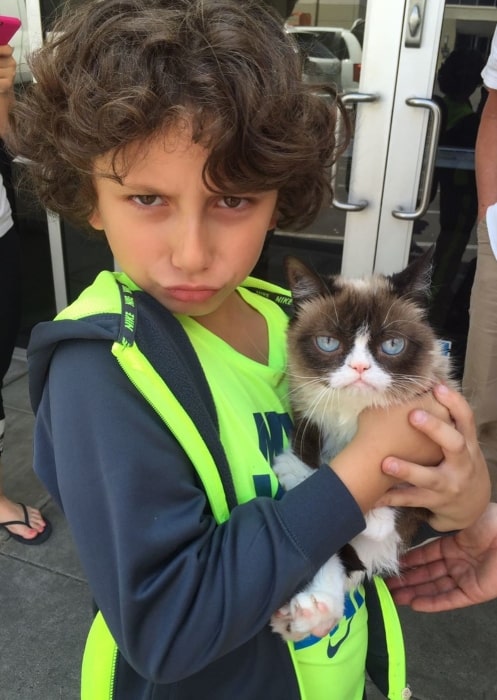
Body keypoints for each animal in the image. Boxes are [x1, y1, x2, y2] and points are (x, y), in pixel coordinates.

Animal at [270, 249, 456, 644]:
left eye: (392, 346)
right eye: (328, 343)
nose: (359, 368)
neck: (355, 417)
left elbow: (390, 510)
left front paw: (374, 514)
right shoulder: (307, 416)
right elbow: (318, 470)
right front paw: (296, 469)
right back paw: (311, 614)